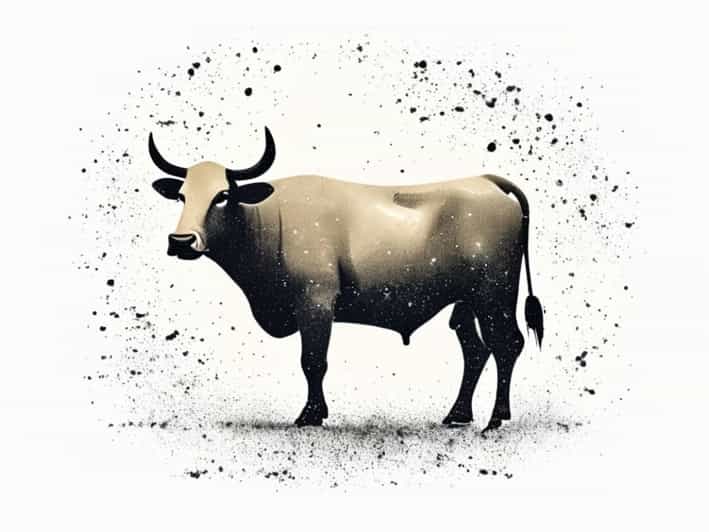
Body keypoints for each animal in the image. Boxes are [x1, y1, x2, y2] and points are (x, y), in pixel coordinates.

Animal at [149, 127, 544, 432]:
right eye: (182, 196)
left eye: (223, 195)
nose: (180, 241)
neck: (269, 217)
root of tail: (487, 181)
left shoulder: (316, 303)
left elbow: (313, 361)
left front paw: (310, 415)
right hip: (465, 301)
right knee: (475, 348)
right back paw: (458, 414)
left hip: (494, 296)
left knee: (507, 343)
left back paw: (496, 418)